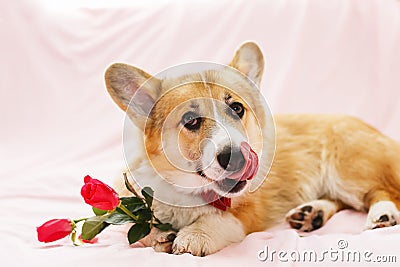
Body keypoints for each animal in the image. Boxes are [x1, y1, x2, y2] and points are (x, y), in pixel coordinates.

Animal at [104, 42, 400, 258]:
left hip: (349, 170)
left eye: (236, 108)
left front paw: (194, 236)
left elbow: (219, 219)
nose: (236, 158)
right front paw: (158, 235)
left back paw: (383, 215)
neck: (187, 192)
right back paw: (311, 213)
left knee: (385, 191)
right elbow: (135, 227)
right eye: (190, 120)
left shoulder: (246, 211)